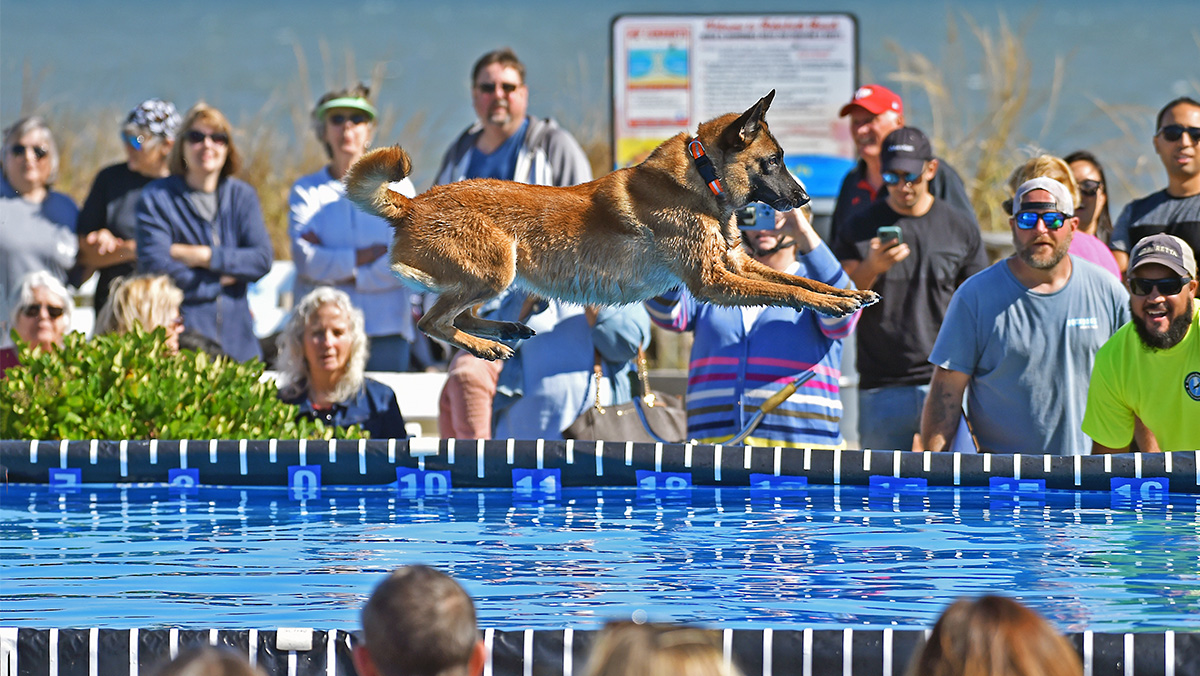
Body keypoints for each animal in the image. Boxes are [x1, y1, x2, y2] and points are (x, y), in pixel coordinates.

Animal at [348, 93, 883, 365]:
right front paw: (830, 303)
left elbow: (796, 278)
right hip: (496, 268)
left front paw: (847, 294)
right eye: (773, 162)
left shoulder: (735, 262)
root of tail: (411, 203)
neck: (701, 174)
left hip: (494, 274)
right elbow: (791, 292)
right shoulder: (713, 281)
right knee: (433, 322)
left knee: (456, 316)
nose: (806, 200)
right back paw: (488, 344)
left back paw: (502, 330)